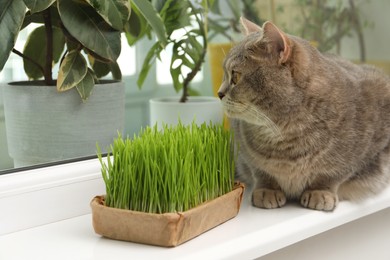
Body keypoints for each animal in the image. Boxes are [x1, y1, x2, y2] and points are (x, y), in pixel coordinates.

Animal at [218, 17, 390, 210]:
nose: (219, 93)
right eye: (225, 74)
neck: (283, 133)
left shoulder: (363, 150)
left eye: (236, 76)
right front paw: (267, 190)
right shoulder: (246, 154)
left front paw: (320, 192)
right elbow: (261, 172)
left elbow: (333, 174)